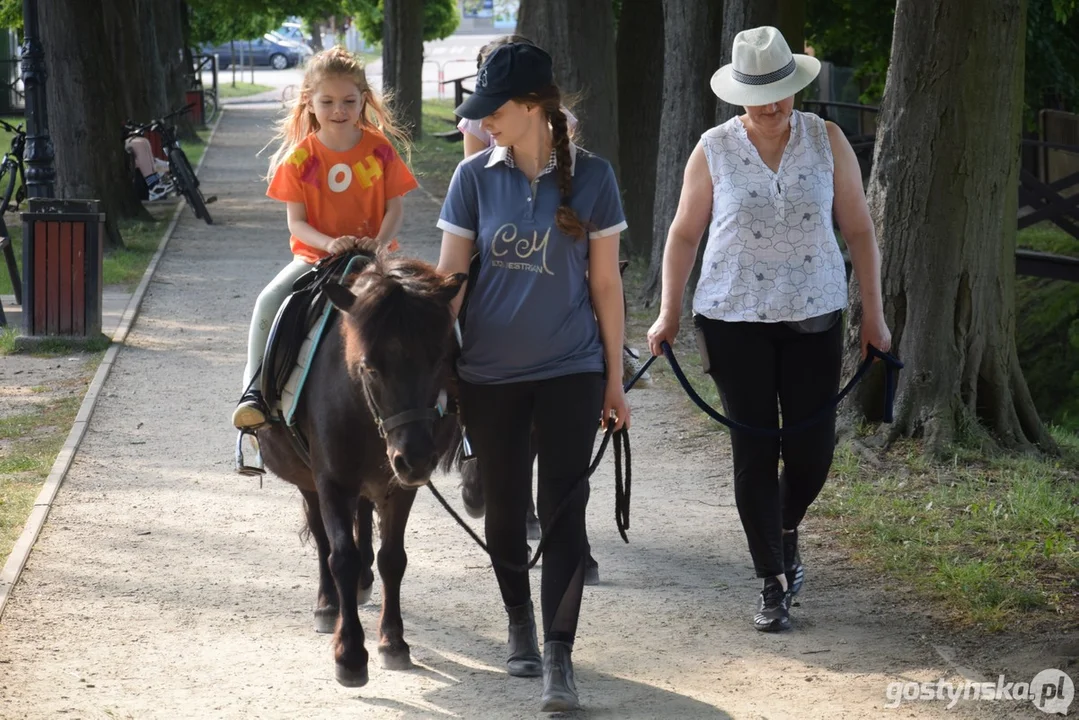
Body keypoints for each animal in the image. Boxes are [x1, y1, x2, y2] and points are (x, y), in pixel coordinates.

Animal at [261, 252, 468, 686]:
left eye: (440, 360)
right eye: (371, 367)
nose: (416, 458)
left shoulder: (400, 488)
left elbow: (392, 558)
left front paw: (393, 641)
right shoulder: (331, 482)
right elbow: (340, 555)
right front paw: (351, 654)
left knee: (362, 522)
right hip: (310, 482)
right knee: (324, 539)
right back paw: (328, 603)